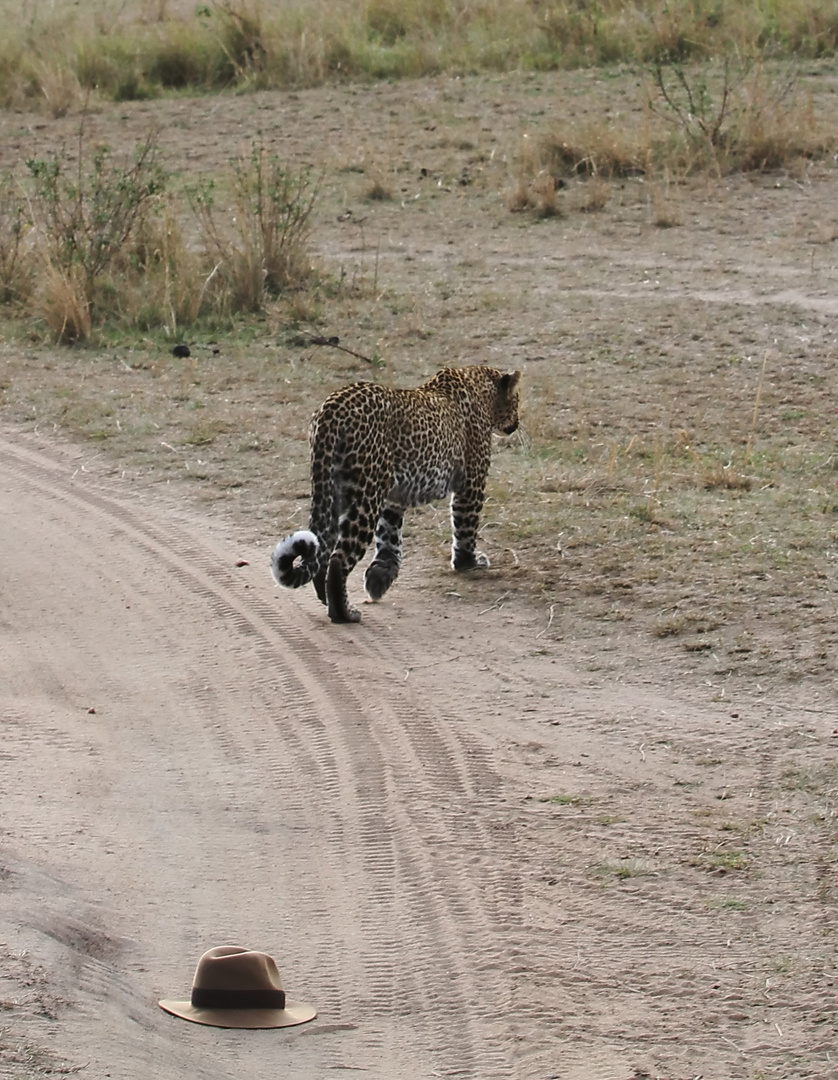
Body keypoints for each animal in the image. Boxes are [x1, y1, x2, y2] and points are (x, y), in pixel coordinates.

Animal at [269, 365, 516, 626]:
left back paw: (326, 599)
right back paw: (345, 613)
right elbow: (466, 526)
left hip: (332, 491)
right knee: (338, 559)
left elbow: (389, 535)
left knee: (323, 551)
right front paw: (468, 563)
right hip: (365, 495)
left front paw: (380, 576)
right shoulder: (472, 482)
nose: (517, 423)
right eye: (517, 399)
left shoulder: (392, 496)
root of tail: (331, 410)